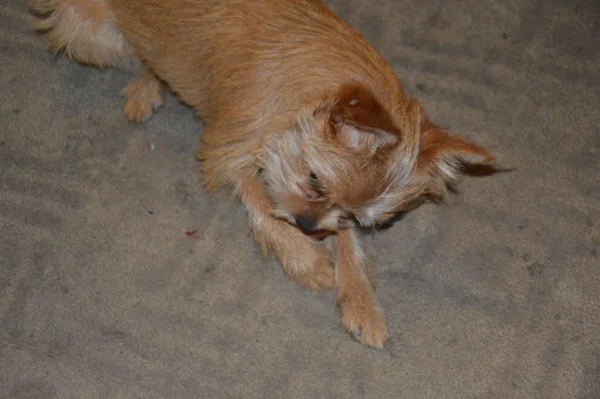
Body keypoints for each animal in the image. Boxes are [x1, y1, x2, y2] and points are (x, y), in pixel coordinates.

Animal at [30, 0, 494, 350]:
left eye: (363, 217)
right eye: (314, 179)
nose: (307, 227)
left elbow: (347, 241)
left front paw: (361, 300)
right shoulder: (227, 153)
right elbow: (262, 203)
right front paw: (306, 260)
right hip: (87, 28)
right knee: (141, 56)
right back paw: (148, 87)